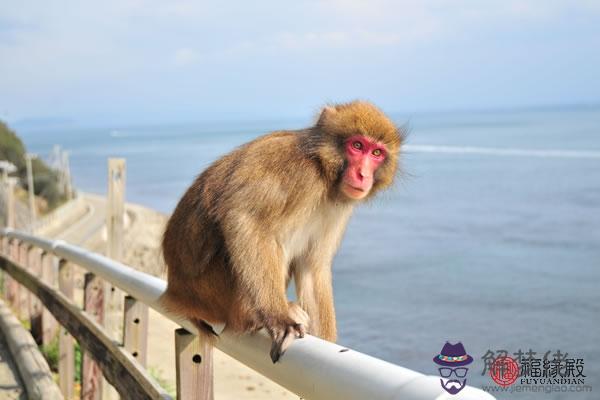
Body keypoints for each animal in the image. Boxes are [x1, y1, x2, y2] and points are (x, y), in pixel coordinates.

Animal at [161, 100, 404, 362]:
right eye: (357, 146)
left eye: (376, 153)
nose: (363, 174)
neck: (324, 172)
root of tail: (176, 293)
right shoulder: (297, 171)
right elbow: (245, 218)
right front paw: (278, 319)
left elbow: (312, 266)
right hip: (212, 292)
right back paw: (256, 316)